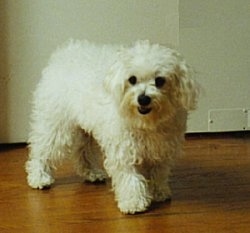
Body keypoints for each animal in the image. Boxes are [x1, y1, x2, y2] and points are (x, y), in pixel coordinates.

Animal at [24, 39, 197, 213]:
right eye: (132, 79)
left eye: (160, 80)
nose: (143, 99)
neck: (146, 123)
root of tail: (63, 53)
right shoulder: (124, 149)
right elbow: (129, 176)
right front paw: (133, 201)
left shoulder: (162, 149)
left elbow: (158, 172)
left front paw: (158, 192)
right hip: (55, 124)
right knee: (42, 150)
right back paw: (39, 177)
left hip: (85, 127)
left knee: (82, 150)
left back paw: (91, 172)